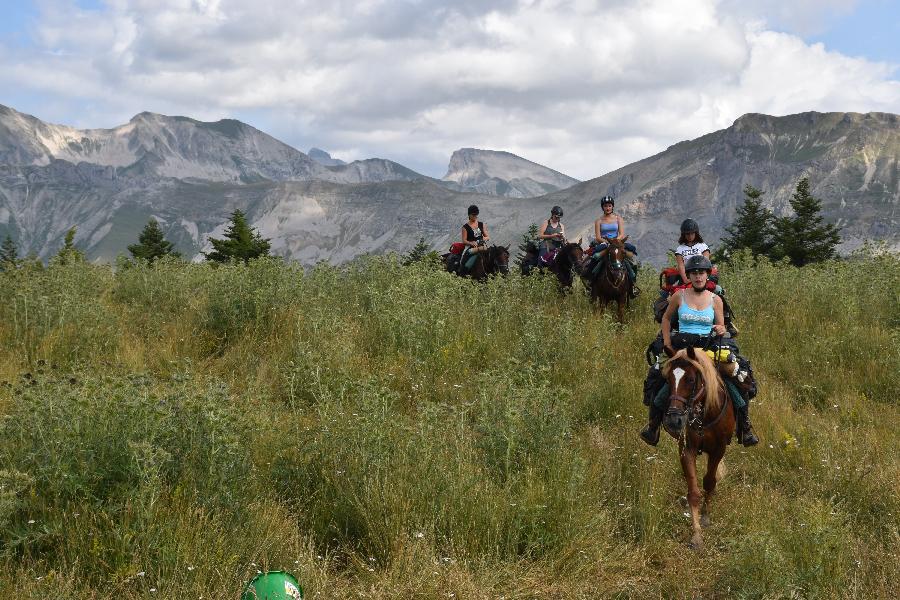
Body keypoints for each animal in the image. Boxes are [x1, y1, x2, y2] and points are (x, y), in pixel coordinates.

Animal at [660, 346, 740, 548]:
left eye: (690, 379)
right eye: (668, 379)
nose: (673, 420)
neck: (704, 415)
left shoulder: (718, 449)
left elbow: (709, 481)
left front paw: (705, 516)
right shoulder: (686, 449)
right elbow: (694, 491)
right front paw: (696, 534)